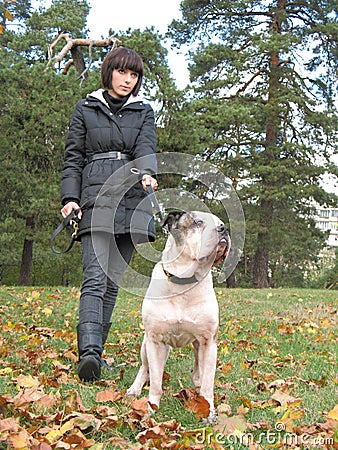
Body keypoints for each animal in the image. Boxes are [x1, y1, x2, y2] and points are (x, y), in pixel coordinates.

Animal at [127, 210, 230, 422]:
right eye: (198, 222)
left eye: (221, 222)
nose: (224, 229)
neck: (184, 282)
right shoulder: (155, 341)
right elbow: (155, 380)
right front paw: (151, 408)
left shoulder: (209, 341)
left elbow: (208, 382)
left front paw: (209, 411)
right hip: (147, 345)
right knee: (145, 367)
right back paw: (135, 388)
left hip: (199, 345)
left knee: (199, 367)